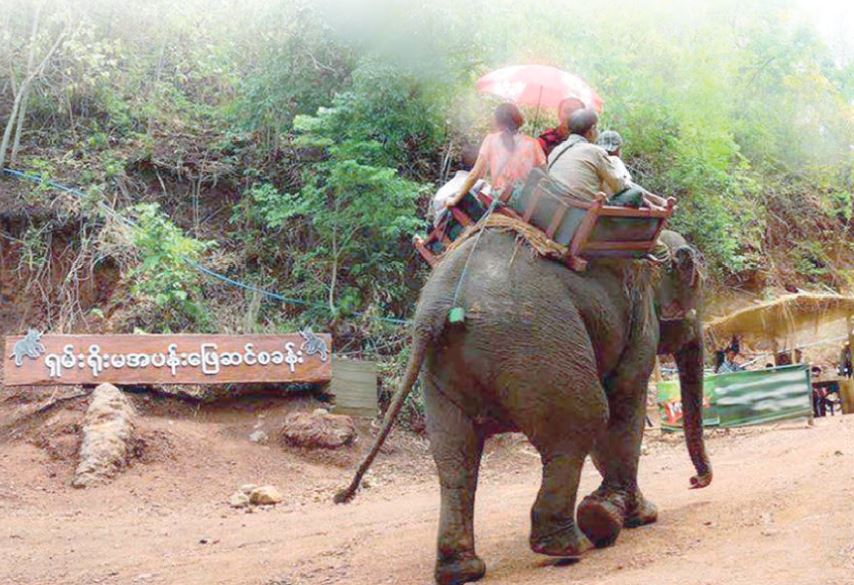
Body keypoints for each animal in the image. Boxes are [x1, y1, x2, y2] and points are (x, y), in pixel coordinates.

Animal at [336, 228, 712, 585]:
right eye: (696, 285)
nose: (695, 480)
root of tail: (439, 305)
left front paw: (630, 512)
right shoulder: (640, 322)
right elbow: (624, 399)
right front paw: (631, 516)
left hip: (446, 371)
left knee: (455, 459)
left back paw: (462, 570)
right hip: (537, 346)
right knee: (585, 420)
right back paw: (568, 546)